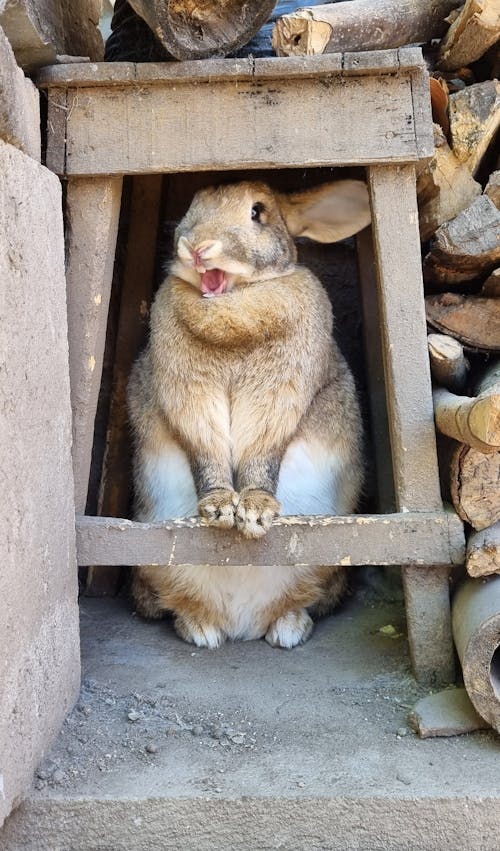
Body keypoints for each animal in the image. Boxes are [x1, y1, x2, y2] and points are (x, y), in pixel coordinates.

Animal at [128, 176, 372, 648]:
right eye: (193, 204)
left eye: (258, 212)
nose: (195, 246)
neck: (233, 305)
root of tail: (241, 620)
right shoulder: (190, 404)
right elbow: (206, 455)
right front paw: (220, 508)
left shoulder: (278, 402)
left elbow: (262, 455)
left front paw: (256, 511)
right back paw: (202, 629)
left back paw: (288, 628)